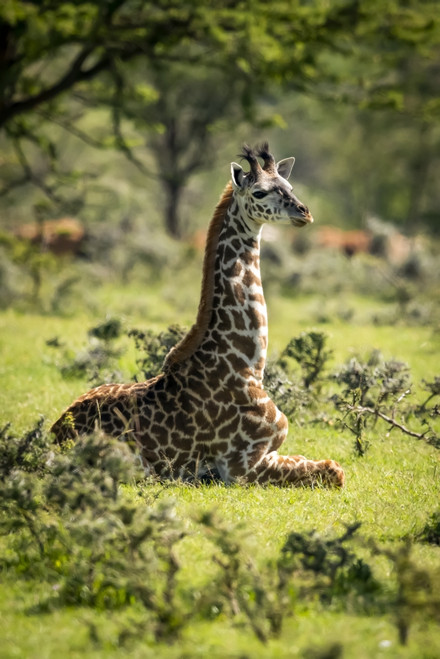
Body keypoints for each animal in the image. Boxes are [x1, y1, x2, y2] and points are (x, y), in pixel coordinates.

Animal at [51, 143, 345, 488]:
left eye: (290, 187)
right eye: (259, 192)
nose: (303, 212)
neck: (248, 366)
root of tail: (54, 433)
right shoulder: (242, 466)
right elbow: (335, 471)